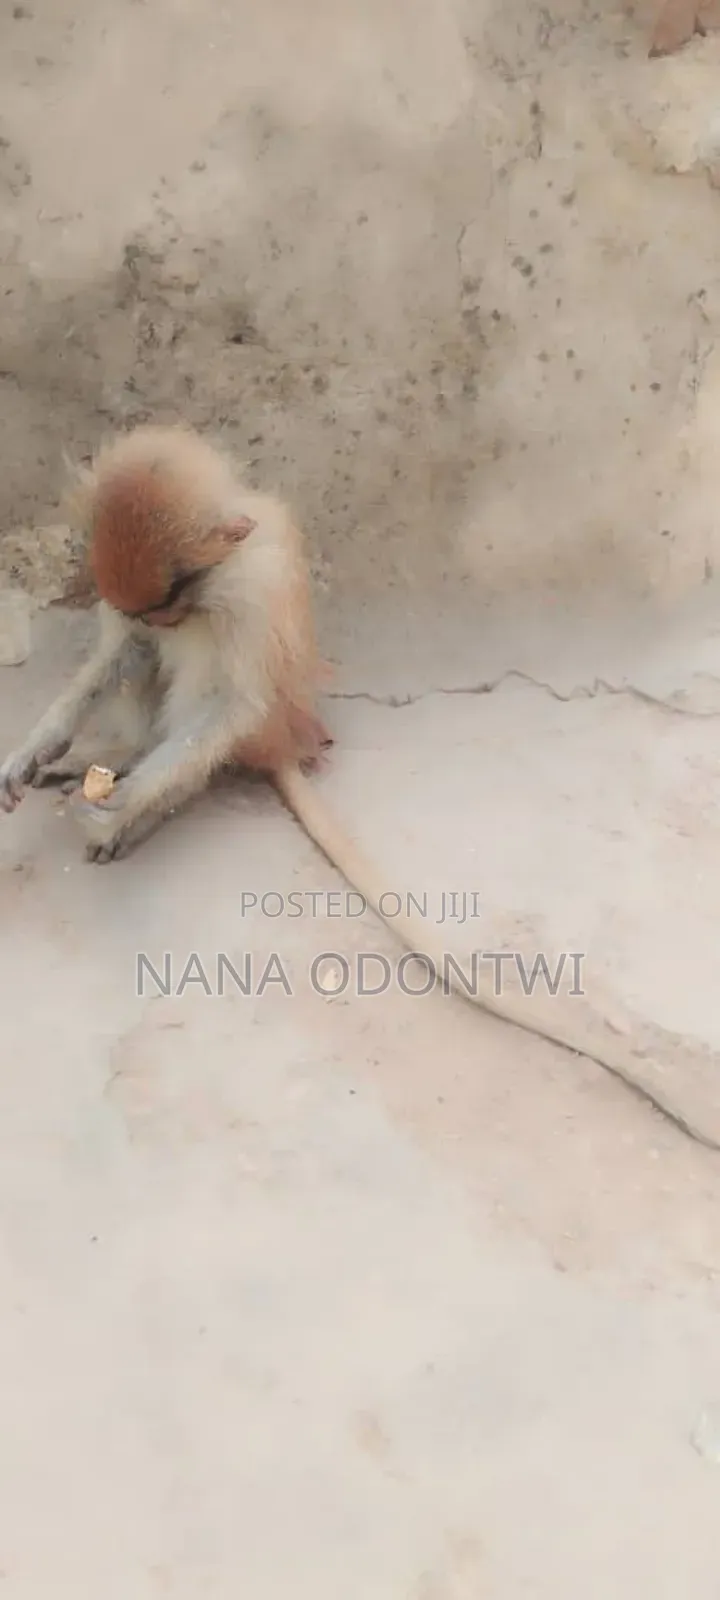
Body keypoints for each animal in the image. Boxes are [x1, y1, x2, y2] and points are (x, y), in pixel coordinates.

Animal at [0, 422, 715, 1146]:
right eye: (152, 604)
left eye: (170, 599)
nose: (161, 621)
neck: (218, 574)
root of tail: (286, 740)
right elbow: (122, 651)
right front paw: (42, 745)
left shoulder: (249, 590)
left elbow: (230, 704)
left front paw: (124, 805)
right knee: (141, 662)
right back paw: (116, 750)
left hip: (266, 724)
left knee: (217, 698)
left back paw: (145, 798)